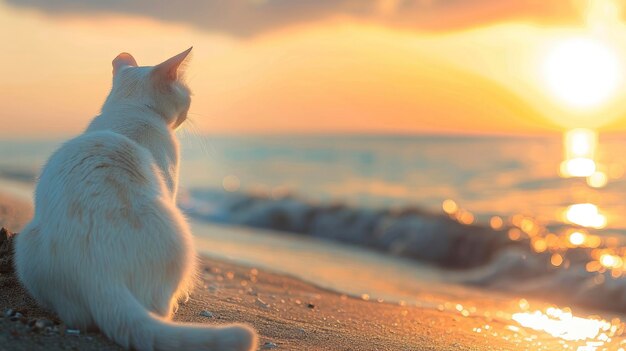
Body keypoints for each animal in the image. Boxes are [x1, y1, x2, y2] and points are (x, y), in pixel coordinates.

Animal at [15, 48, 258, 351]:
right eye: (188, 95)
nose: (189, 110)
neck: (130, 108)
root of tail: (100, 275)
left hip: (25, 245)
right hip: (180, 235)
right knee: (158, 310)